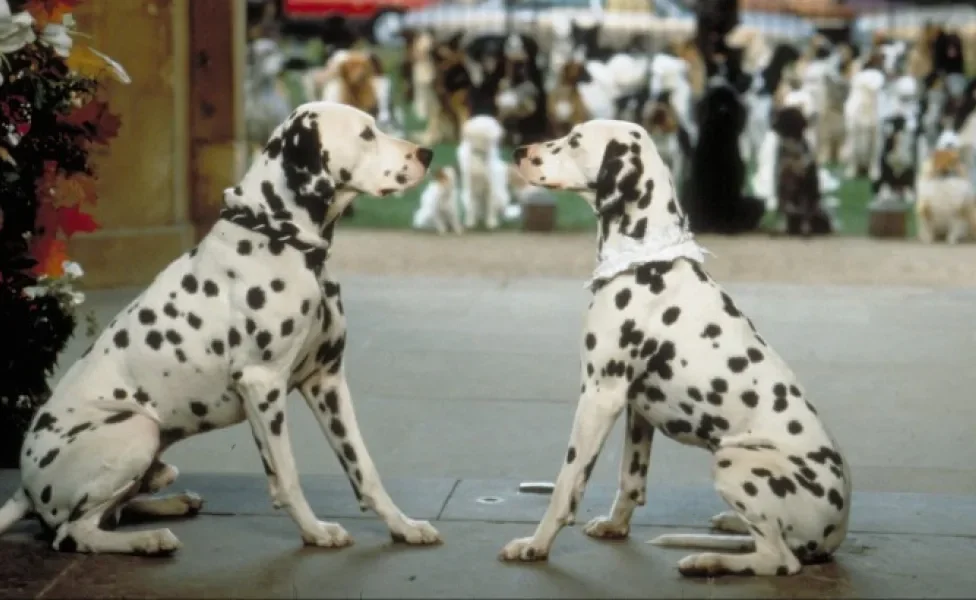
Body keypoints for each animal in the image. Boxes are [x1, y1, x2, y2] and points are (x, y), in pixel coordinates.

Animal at [0, 101, 438, 556]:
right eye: (366, 134)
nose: (428, 154)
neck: (281, 238)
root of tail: (24, 488)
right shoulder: (262, 386)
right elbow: (287, 476)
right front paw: (315, 531)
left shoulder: (327, 380)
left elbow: (363, 467)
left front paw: (404, 525)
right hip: (138, 430)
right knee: (74, 532)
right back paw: (149, 539)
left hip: (155, 458)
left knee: (113, 511)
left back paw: (171, 503)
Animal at [500, 118, 852, 576]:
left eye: (575, 141)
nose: (518, 151)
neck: (646, 260)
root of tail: (836, 533)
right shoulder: (636, 409)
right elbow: (630, 480)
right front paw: (615, 526)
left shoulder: (599, 396)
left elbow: (566, 483)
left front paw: (536, 545)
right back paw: (727, 527)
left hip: (733, 462)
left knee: (779, 560)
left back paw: (708, 560)